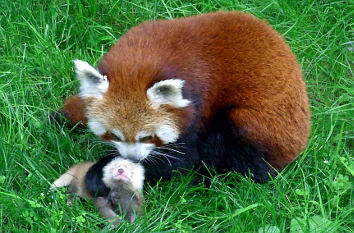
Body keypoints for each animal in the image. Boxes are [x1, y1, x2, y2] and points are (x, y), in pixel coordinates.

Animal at [55, 11, 310, 191]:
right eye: (114, 135)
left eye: (147, 137)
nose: (132, 158)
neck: (143, 60)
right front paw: (61, 116)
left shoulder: (197, 105)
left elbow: (180, 159)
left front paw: (100, 173)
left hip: (256, 126)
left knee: (234, 152)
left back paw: (204, 180)